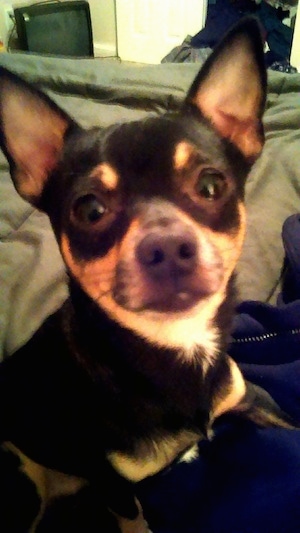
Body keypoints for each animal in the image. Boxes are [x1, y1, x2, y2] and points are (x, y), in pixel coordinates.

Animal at [0, 16, 294, 532]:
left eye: (211, 185)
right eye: (90, 210)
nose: (166, 247)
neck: (178, 346)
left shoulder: (254, 398)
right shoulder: (118, 491)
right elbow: (139, 524)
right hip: (20, 486)